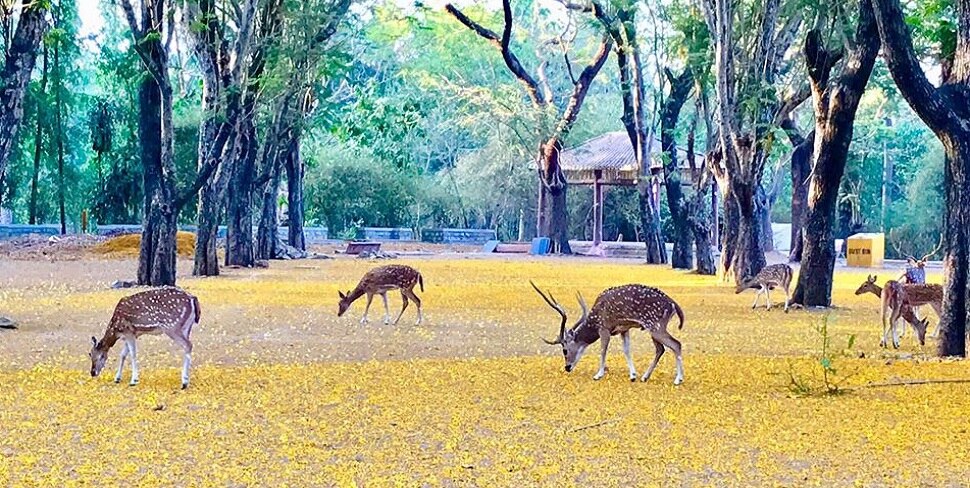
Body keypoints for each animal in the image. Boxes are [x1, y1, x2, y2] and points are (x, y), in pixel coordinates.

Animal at [528, 282, 688, 386]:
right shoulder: (624, 329)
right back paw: (645, 377)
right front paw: (633, 375)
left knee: (676, 344)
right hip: (654, 328)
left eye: (565, 350)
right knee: (661, 349)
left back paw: (678, 379)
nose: (567, 367)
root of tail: (673, 304)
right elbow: (626, 350)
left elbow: (603, 350)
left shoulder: (604, 328)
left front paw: (598, 375)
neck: (594, 320)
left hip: (655, 326)